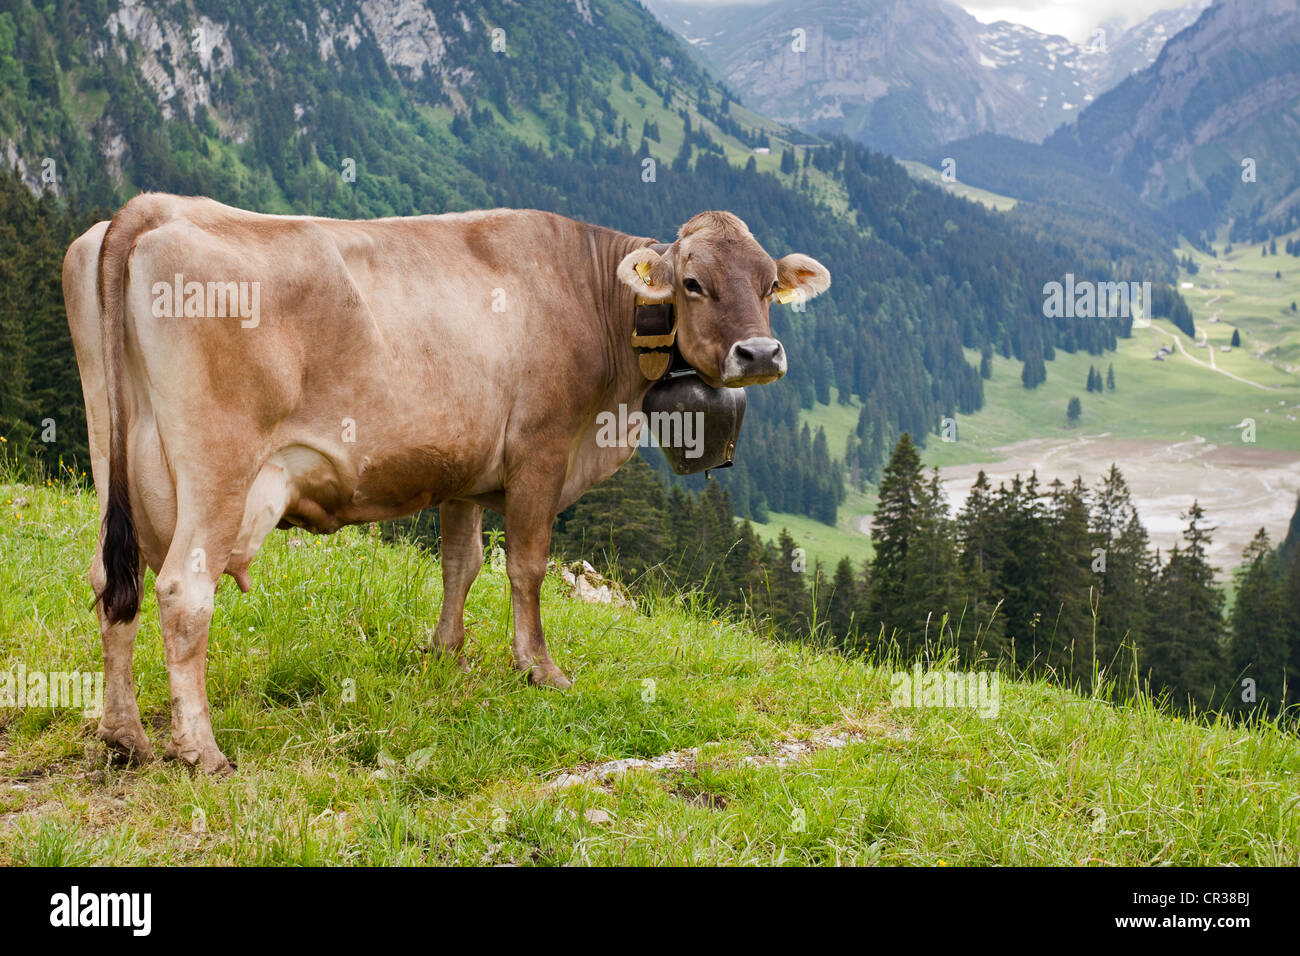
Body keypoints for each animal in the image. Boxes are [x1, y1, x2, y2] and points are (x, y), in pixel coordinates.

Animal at [61, 195, 826, 770]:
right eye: (694, 283)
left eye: (767, 284)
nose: (760, 353)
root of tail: (152, 208)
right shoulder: (541, 451)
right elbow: (526, 566)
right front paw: (538, 668)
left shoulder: (465, 469)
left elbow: (462, 563)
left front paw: (444, 654)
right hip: (217, 468)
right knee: (182, 592)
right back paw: (201, 751)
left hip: (112, 455)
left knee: (112, 580)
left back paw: (124, 735)